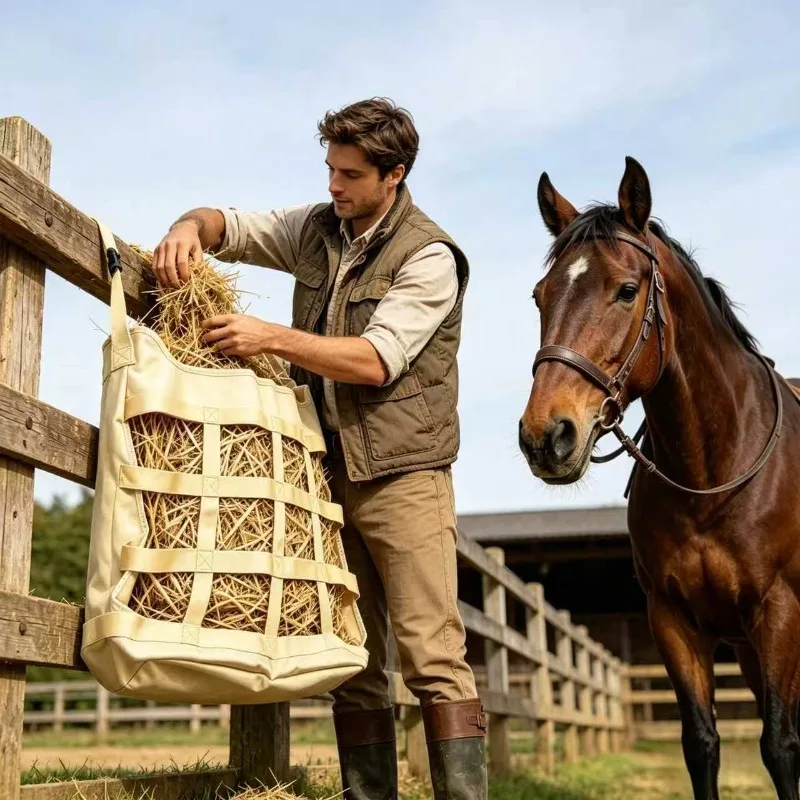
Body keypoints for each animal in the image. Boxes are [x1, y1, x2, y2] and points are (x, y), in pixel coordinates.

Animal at [518, 156, 800, 800]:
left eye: (627, 291)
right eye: (540, 296)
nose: (546, 436)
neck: (714, 477)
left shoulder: (780, 610)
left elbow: (780, 746)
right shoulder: (673, 619)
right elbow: (701, 743)